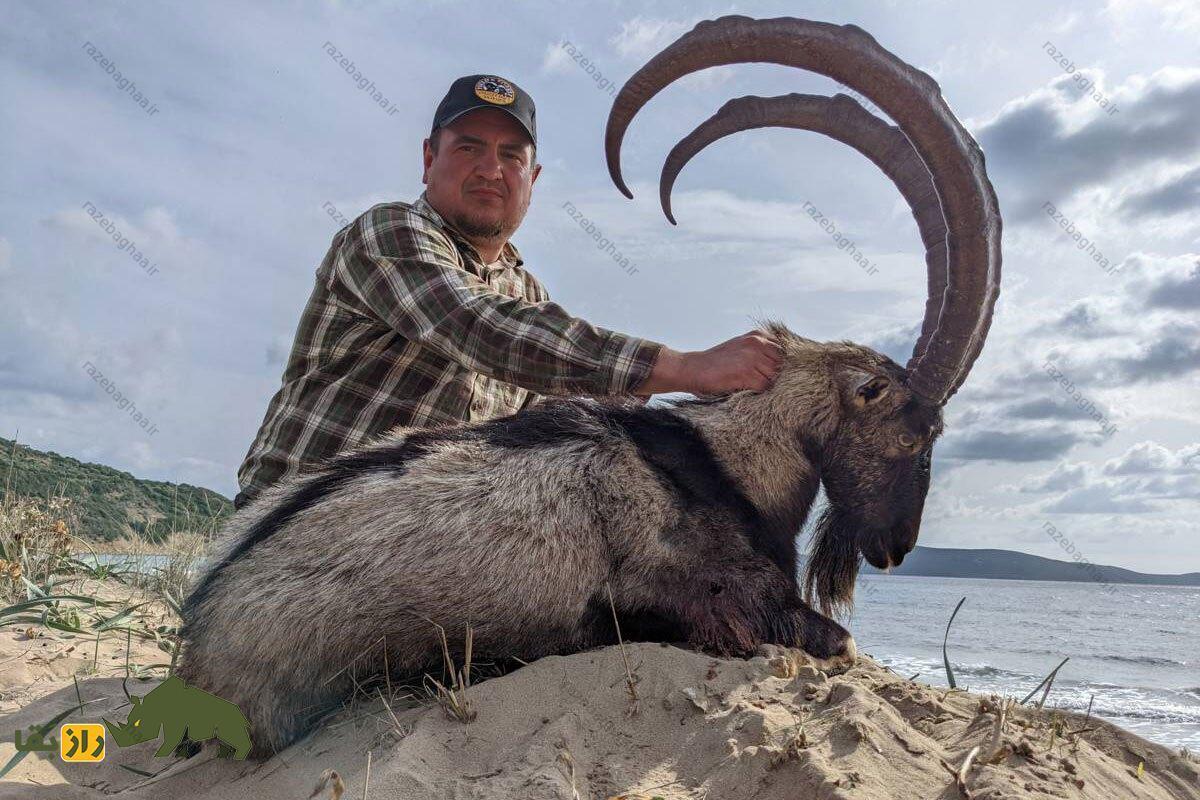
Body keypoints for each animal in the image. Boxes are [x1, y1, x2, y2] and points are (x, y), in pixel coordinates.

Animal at [175, 15, 1003, 762]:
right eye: (912, 428)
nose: (895, 548)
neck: (729, 465)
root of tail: (197, 647)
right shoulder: (730, 602)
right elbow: (836, 641)